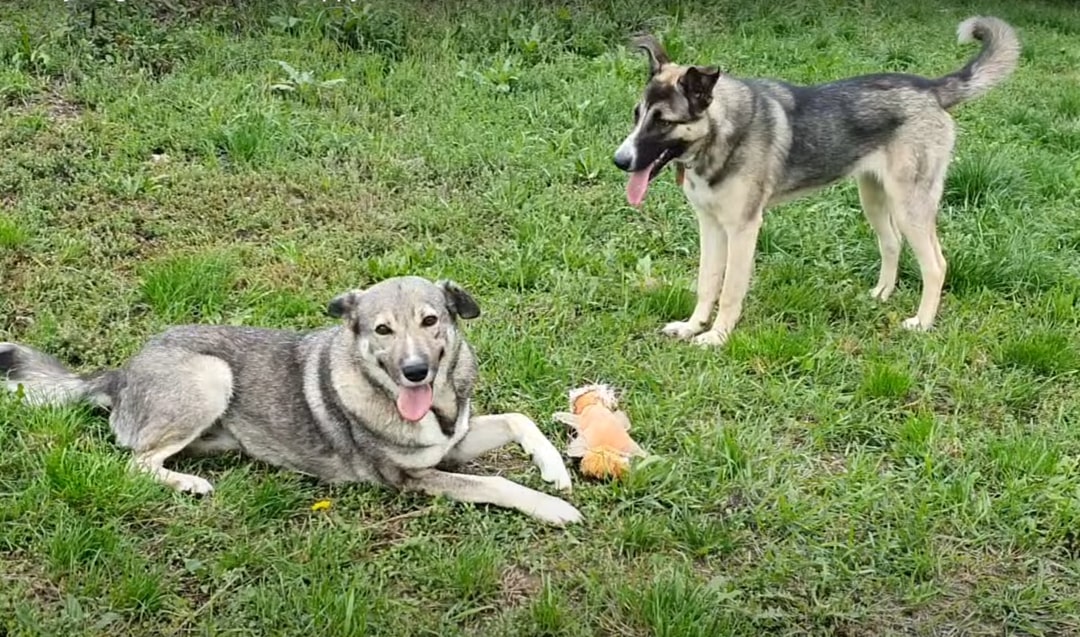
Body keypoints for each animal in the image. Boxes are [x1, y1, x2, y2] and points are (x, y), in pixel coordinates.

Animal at [2, 276, 583, 526]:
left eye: (430, 320)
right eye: (382, 330)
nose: (415, 371)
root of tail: (122, 372)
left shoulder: (454, 442)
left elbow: (519, 419)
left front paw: (555, 470)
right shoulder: (414, 478)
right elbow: (497, 482)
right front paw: (555, 508)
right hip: (212, 377)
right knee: (135, 463)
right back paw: (188, 483)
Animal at [617, 16, 1019, 345]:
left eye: (663, 121)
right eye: (637, 114)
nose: (620, 161)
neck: (720, 133)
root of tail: (931, 88)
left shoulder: (743, 229)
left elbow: (730, 290)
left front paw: (717, 336)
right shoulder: (711, 226)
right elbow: (707, 283)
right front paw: (692, 326)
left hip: (911, 206)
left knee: (936, 265)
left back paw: (922, 323)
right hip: (873, 198)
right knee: (892, 243)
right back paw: (882, 294)